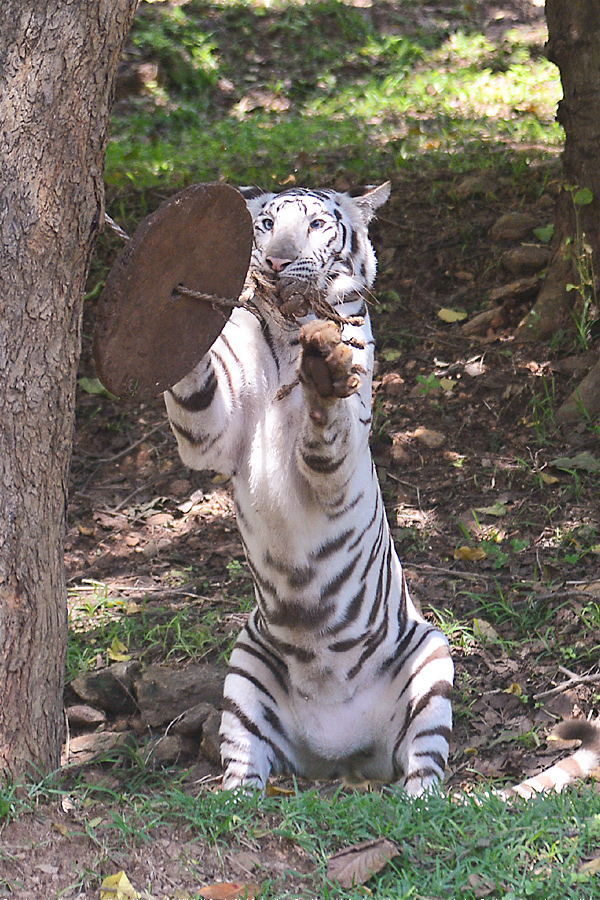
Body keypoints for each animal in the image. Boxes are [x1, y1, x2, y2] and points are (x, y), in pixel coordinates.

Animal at [164, 185, 454, 796]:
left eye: (318, 224)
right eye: (266, 224)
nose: (275, 262)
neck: (284, 330)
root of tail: (337, 755)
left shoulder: (341, 446)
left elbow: (327, 428)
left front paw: (323, 373)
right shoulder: (215, 435)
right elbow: (197, 381)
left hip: (433, 661)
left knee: (426, 772)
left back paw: (420, 800)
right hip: (245, 672)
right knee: (244, 770)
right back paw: (232, 800)